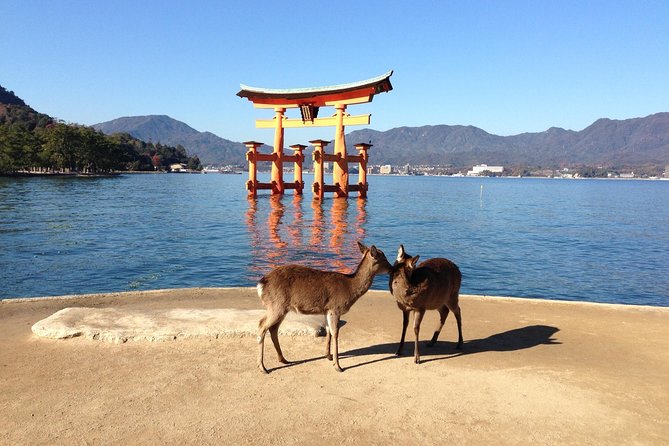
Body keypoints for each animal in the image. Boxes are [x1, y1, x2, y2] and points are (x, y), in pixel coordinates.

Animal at [256, 240, 392, 372]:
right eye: (382, 258)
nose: (392, 268)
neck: (350, 288)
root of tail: (261, 284)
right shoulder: (335, 308)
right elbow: (335, 333)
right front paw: (338, 366)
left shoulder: (327, 310)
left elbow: (328, 331)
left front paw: (328, 356)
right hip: (276, 305)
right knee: (262, 325)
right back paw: (263, 367)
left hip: (282, 308)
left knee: (273, 329)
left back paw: (283, 359)